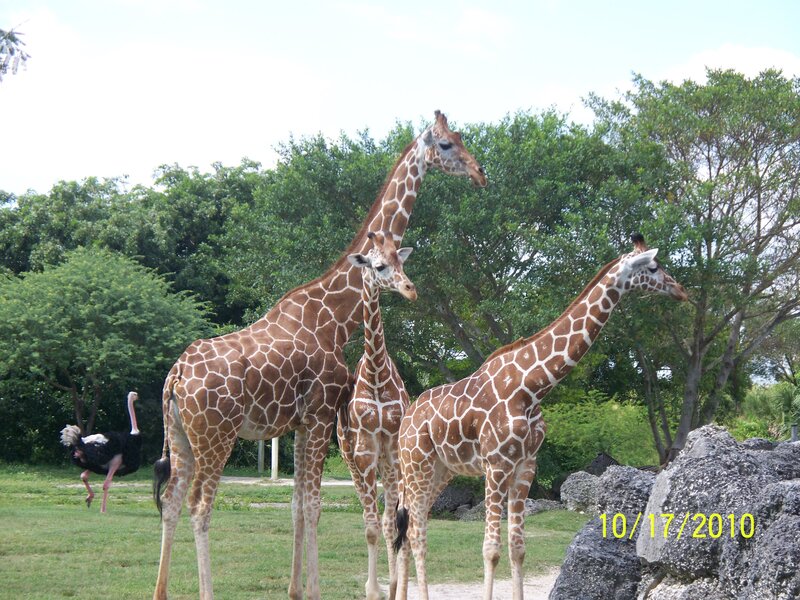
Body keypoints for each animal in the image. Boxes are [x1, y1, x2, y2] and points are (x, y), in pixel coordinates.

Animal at [151, 111, 486, 600]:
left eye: (460, 137)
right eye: (444, 144)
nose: (480, 173)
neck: (332, 318)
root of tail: (175, 376)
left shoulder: (299, 423)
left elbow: (296, 504)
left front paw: (295, 588)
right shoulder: (320, 415)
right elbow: (313, 505)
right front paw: (311, 589)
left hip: (179, 434)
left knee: (173, 499)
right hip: (216, 434)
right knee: (199, 505)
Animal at [393, 234, 688, 600]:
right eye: (654, 267)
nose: (681, 291)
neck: (532, 388)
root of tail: (406, 420)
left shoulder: (525, 465)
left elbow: (518, 548)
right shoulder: (496, 464)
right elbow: (490, 549)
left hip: (440, 470)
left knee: (409, 529)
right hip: (416, 465)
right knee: (415, 532)